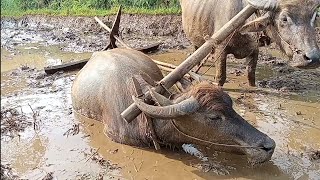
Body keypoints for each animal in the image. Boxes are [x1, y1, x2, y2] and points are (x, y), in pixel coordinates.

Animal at [180, 0, 320, 86]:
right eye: (284, 18)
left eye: (314, 17)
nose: (313, 58)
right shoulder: (220, 48)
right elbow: (220, 77)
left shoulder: (254, 50)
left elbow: (251, 76)